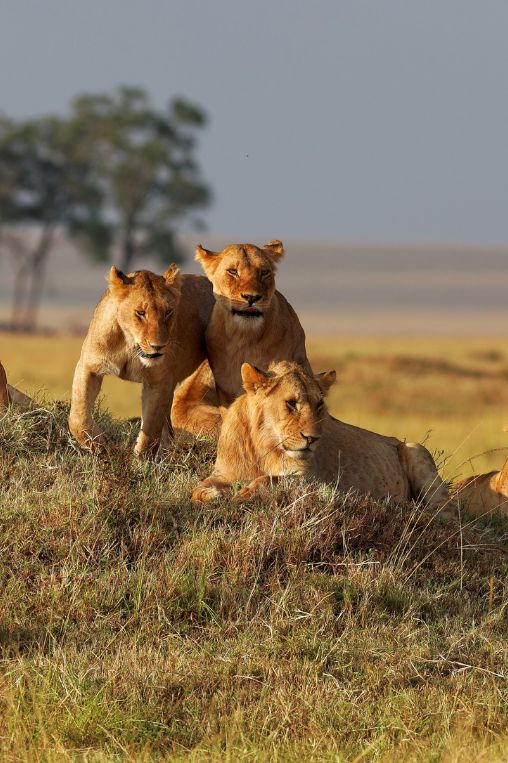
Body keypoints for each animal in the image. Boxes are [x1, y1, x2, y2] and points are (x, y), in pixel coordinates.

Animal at [68, 265, 214, 455]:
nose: (158, 346)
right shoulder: (88, 366)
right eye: (140, 313)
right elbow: (78, 416)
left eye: (168, 312)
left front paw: (141, 457)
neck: (130, 345)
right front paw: (100, 445)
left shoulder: (159, 380)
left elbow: (151, 426)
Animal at [192, 361, 450, 512]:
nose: (313, 439)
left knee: (444, 510)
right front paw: (213, 495)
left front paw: (242, 495)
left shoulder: (314, 482)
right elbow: (200, 487)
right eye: (291, 403)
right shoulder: (223, 473)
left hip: (415, 448)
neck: (264, 447)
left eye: (319, 405)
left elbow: (268, 480)